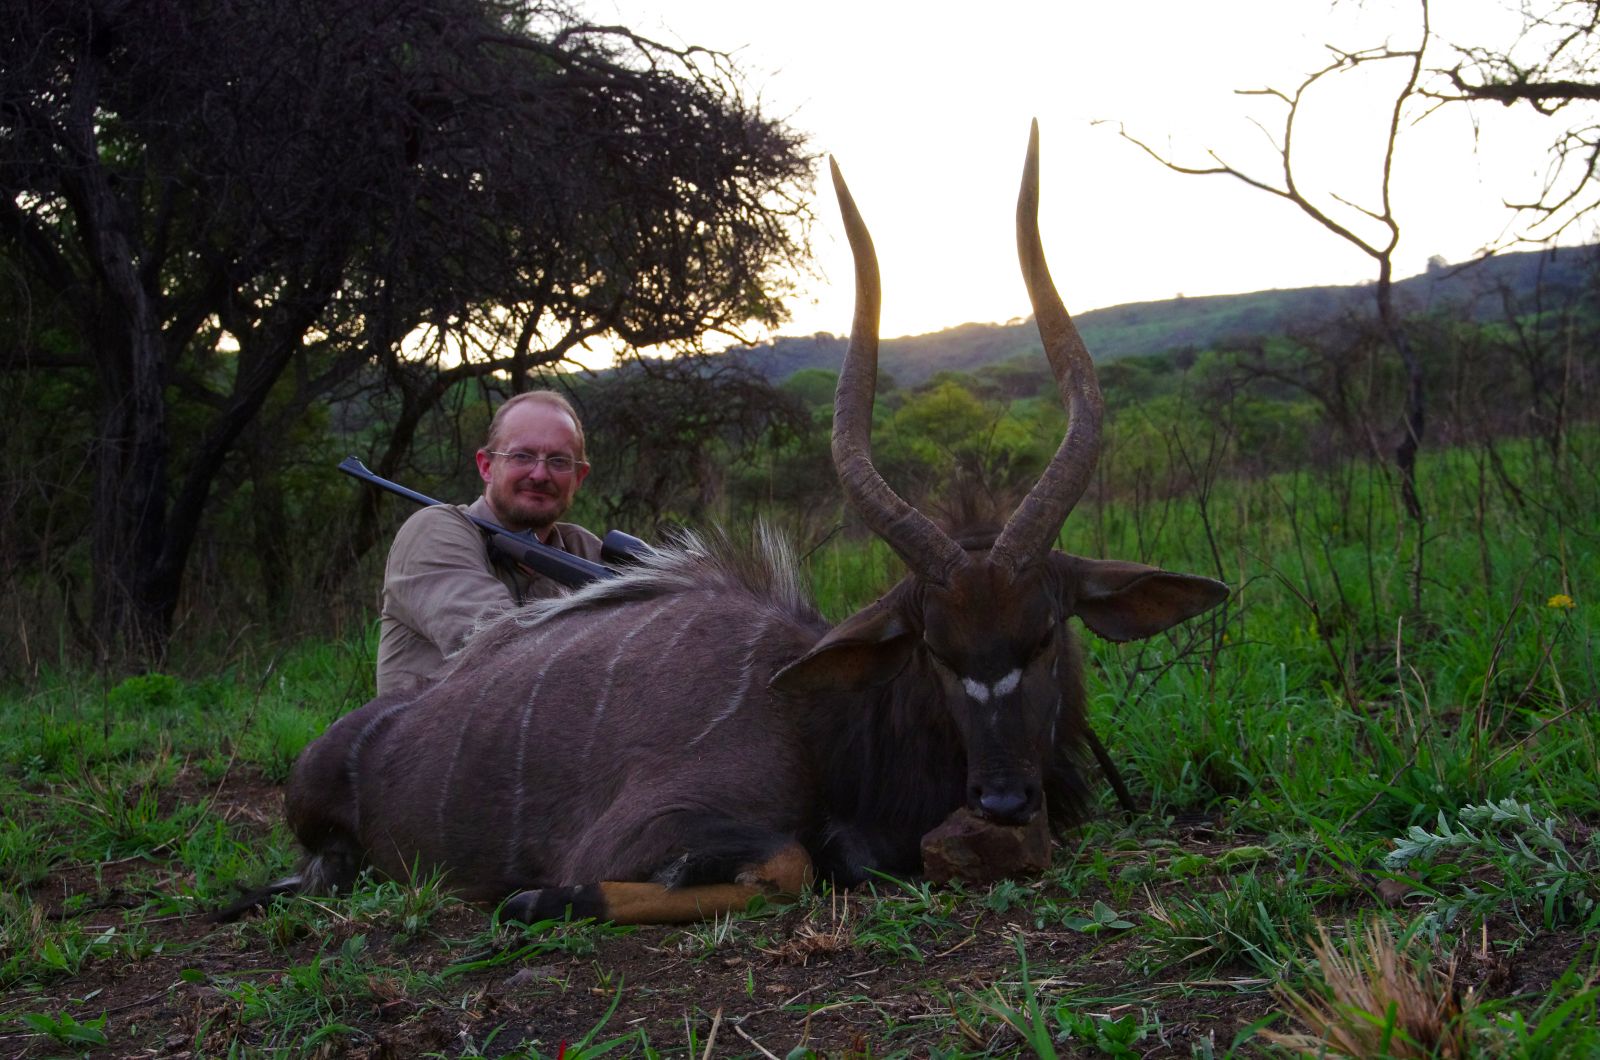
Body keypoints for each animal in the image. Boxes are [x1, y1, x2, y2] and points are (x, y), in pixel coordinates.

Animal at [242, 123, 1228, 925]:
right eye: (934, 650)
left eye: (1046, 633)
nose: (1005, 805)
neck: (833, 723)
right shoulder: (652, 828)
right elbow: (790, 865)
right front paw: (536, 897)